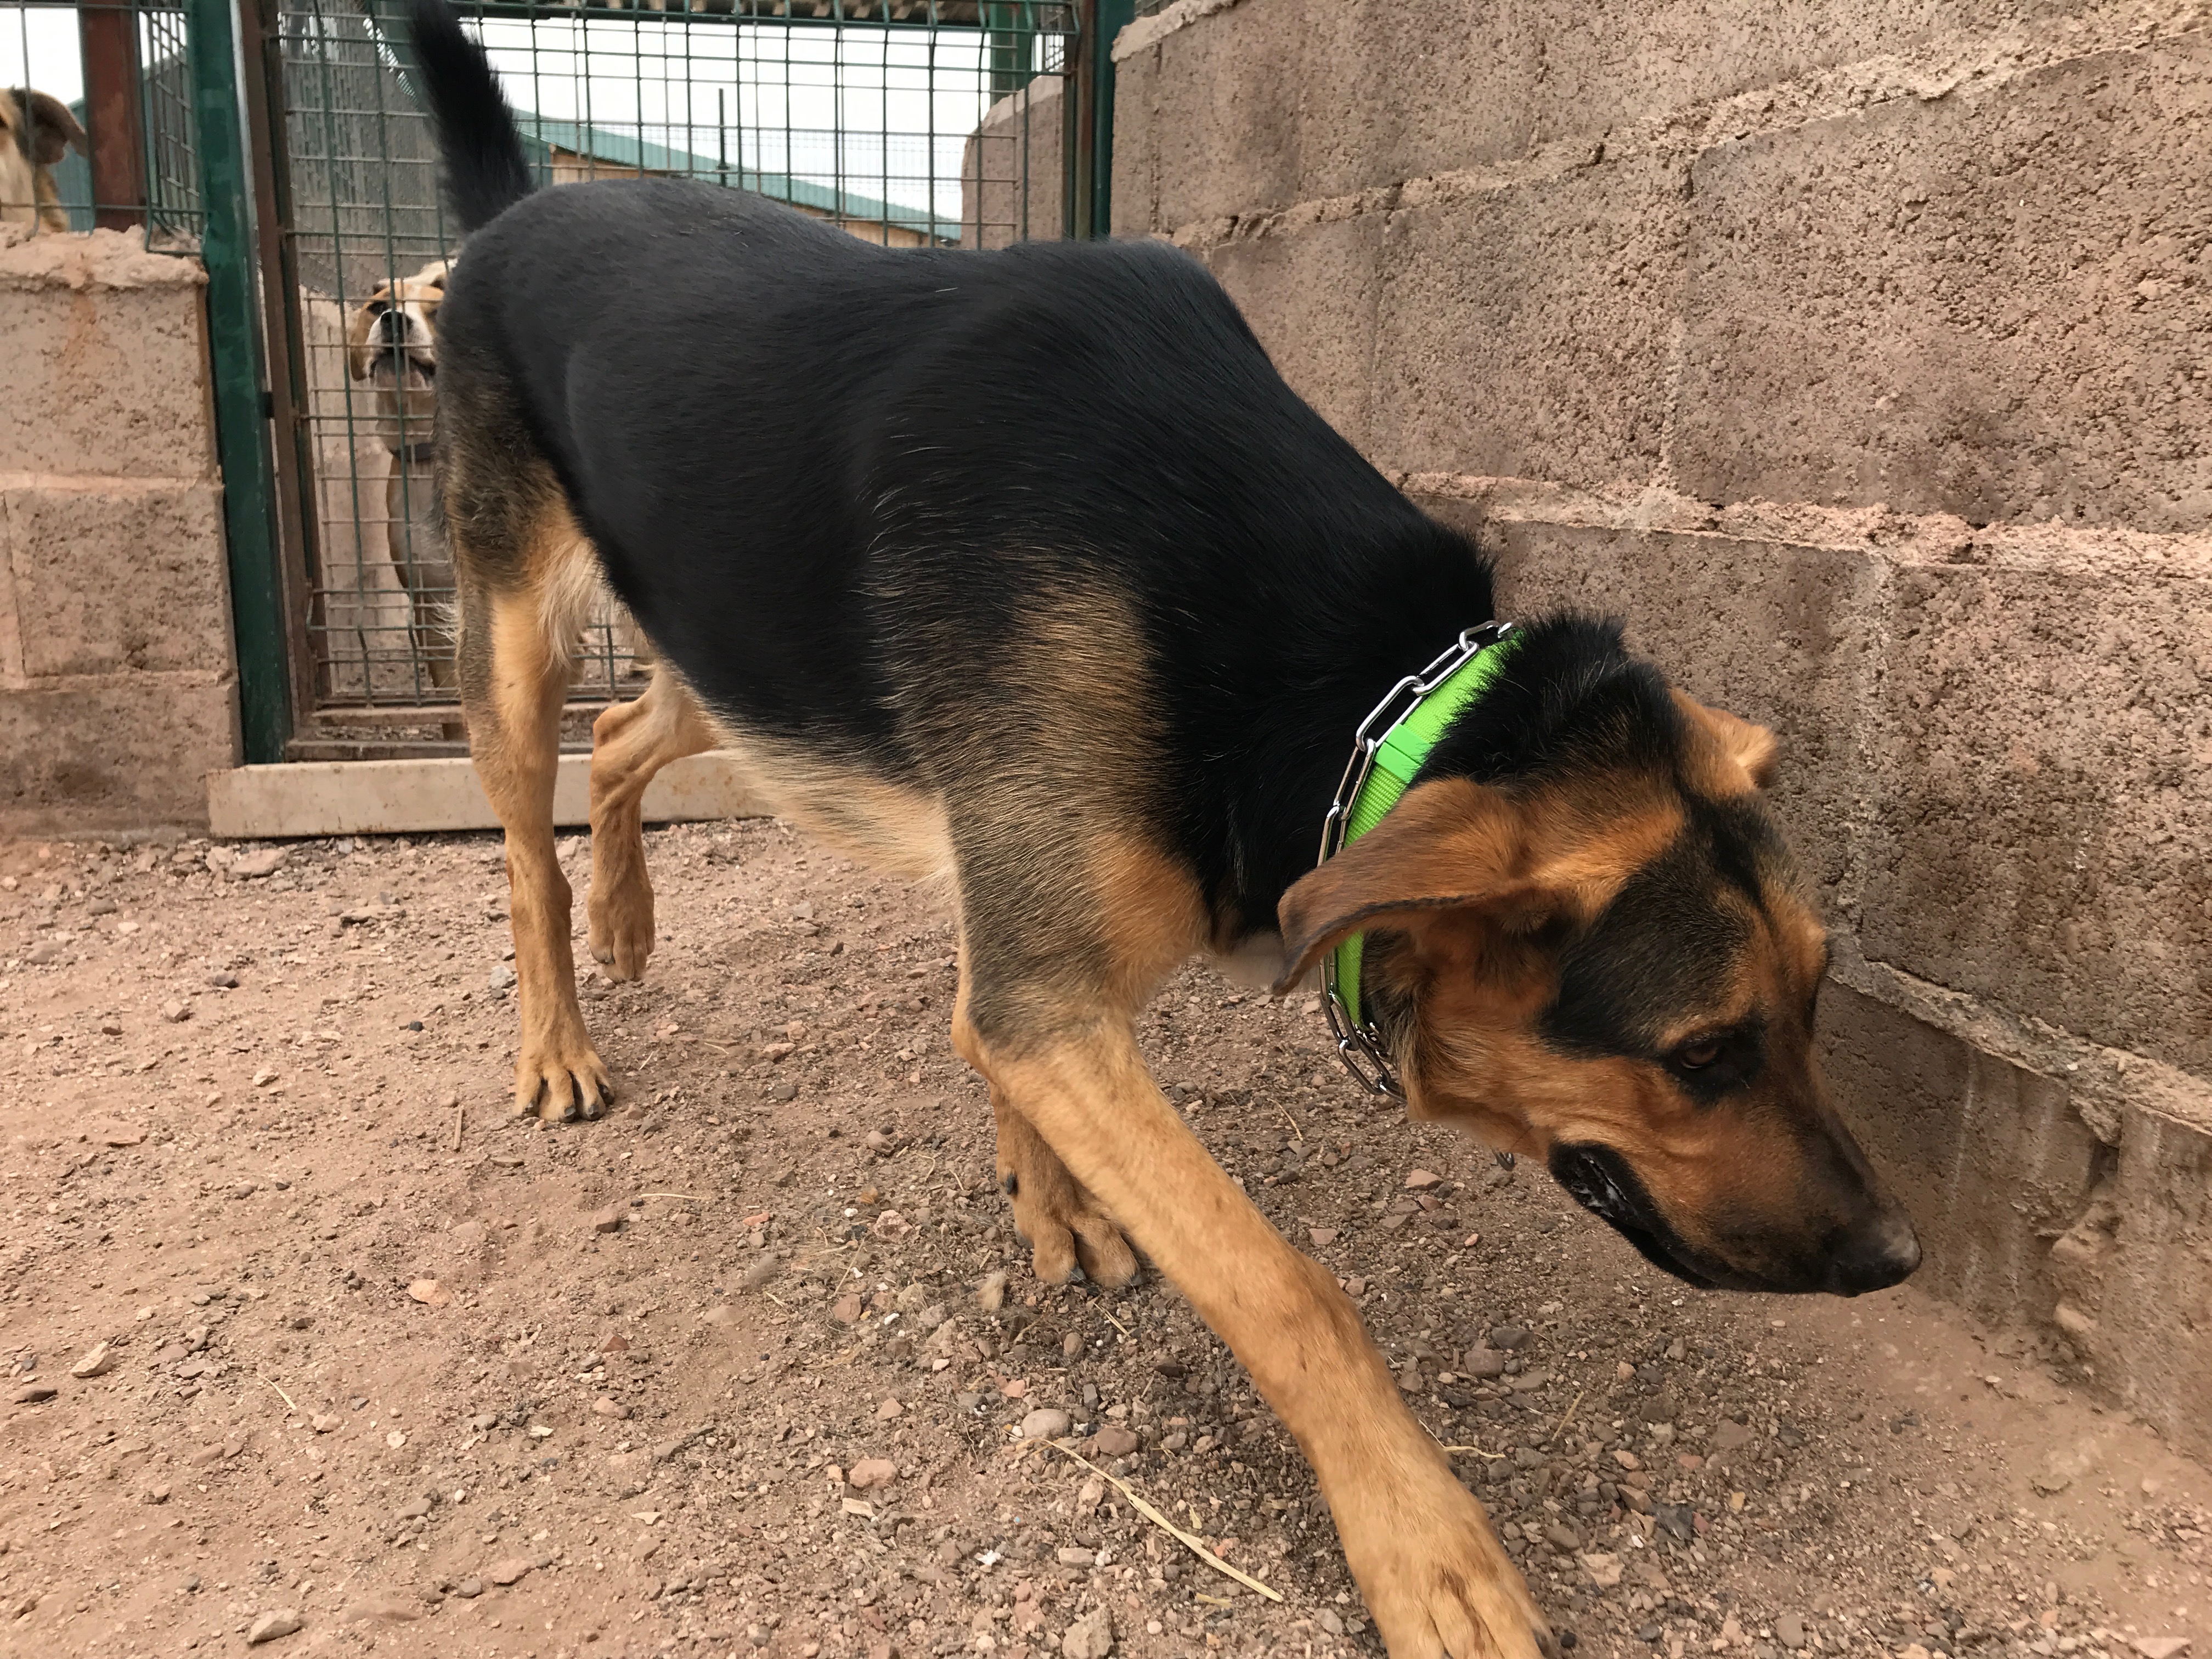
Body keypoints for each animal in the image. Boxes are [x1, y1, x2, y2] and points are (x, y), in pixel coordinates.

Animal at [407, 5, 1920, 1653]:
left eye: (1815, 1008)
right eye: (1703, 1055)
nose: (1898, 1259)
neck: (1364, 692)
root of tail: (518, 214)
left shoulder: (1029, 943)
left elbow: (986, 1030)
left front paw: (1050, 1198)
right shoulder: (1053, 986)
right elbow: (1291, 1292)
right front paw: (1431, 1549)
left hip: (745, 661)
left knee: (626, 742)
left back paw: (629, 920)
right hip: (522, 637)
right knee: (523, 846)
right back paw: (559, 1034)